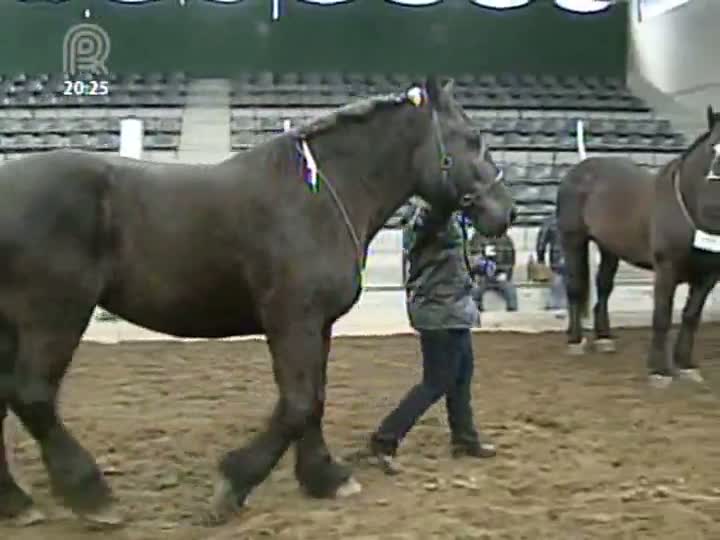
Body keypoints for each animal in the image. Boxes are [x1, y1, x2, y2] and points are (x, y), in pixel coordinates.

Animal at [0, 78, 516, 528]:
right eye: (472, 138)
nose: (506, 211)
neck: (317, 199)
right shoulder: (292, 320)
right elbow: (297, 404)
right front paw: (233, 484)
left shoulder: (318, 325)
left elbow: (315, 398)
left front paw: (324, 478)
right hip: (56, 315)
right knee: (32, 396)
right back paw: (93, 497)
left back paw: (18, 503)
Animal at [560, 106, 720, 388]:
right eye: (713, 148)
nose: (712, 206)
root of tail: (579, 169)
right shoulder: (667, 269)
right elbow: (662, 316)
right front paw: (659, 371)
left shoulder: (709, 276)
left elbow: (691, 317)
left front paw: (686, 366)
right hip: (573, 240)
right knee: (575, 287)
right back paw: (575, 341)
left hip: (609, 248)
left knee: (603, 287)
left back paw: (604, 338)